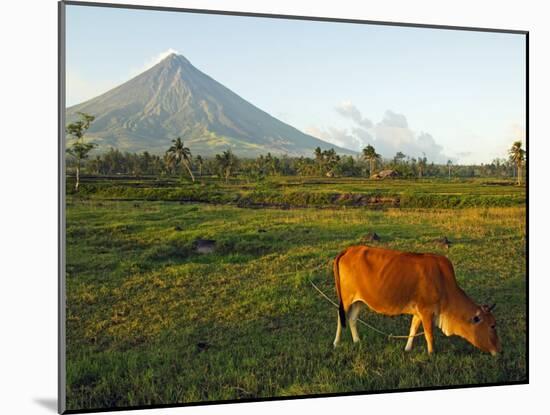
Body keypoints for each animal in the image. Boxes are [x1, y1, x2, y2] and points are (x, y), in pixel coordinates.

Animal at [334, 245, 502, 356]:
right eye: (492, 326)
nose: (499, 350)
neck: (443, 281)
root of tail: (349, 250)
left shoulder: (418, 312)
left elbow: (413, 330)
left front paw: (407, 348)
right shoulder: (426, 311)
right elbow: (429, 334)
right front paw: (432, 353)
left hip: (359, 301)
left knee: (352, 319)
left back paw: (357, 341)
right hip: (346, 299)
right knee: (340, 317)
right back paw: (336, 343)